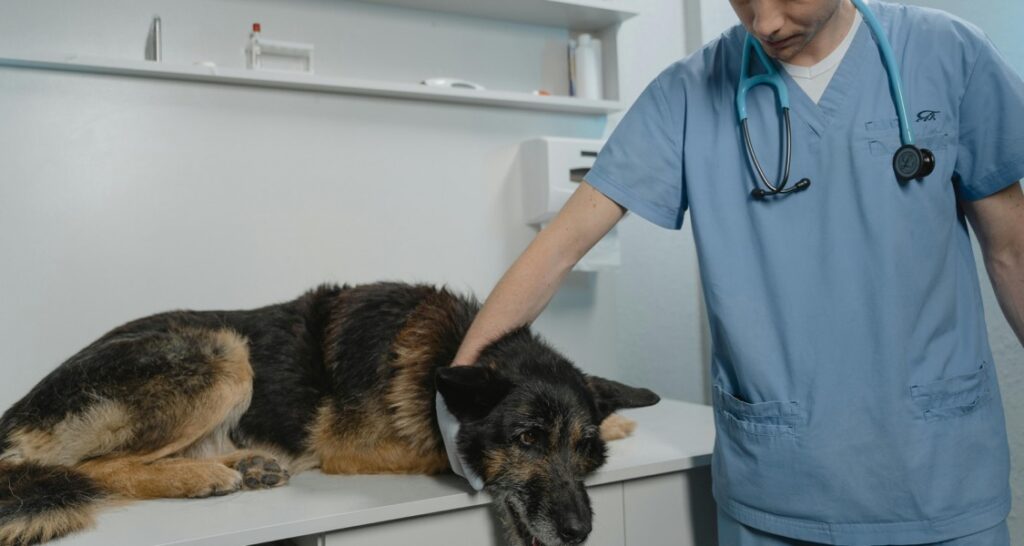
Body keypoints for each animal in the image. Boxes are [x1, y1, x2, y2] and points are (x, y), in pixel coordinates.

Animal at [0, 282, 655, 540]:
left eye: (584, 450)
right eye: (526, 440)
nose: (579, 532)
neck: (448, 352)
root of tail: (15, 413)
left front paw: (620, 417)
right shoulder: (355, 447)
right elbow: (438, 449)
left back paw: (247, 464)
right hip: (223, 350)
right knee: (92, 468)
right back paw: (200, 476)